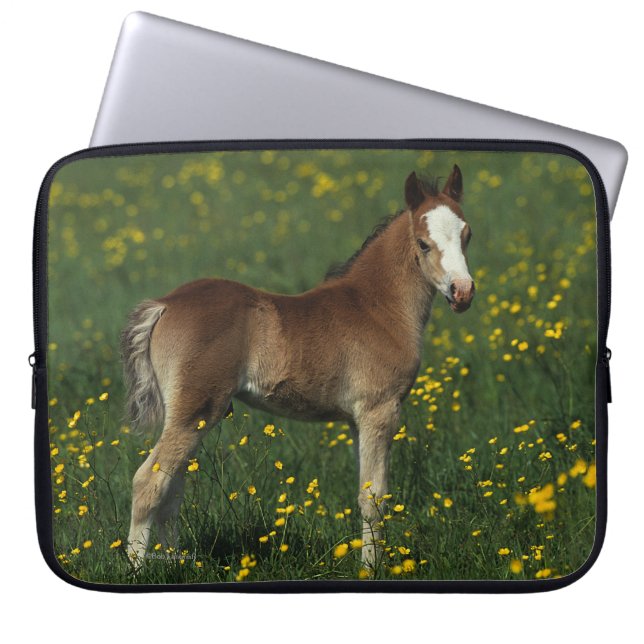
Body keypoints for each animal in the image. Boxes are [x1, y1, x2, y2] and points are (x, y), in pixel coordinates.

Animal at [121, 165, 475, 569]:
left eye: (467, 235)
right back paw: (138, 571)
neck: (377, 307)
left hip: (190, 417)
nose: (462, 291)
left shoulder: (357, 420)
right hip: (195, 410)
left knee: (173, 490)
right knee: (149, 482)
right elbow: (374, 500)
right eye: (423, 243)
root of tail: (164, 303)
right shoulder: (380, 410)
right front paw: (370, 570)